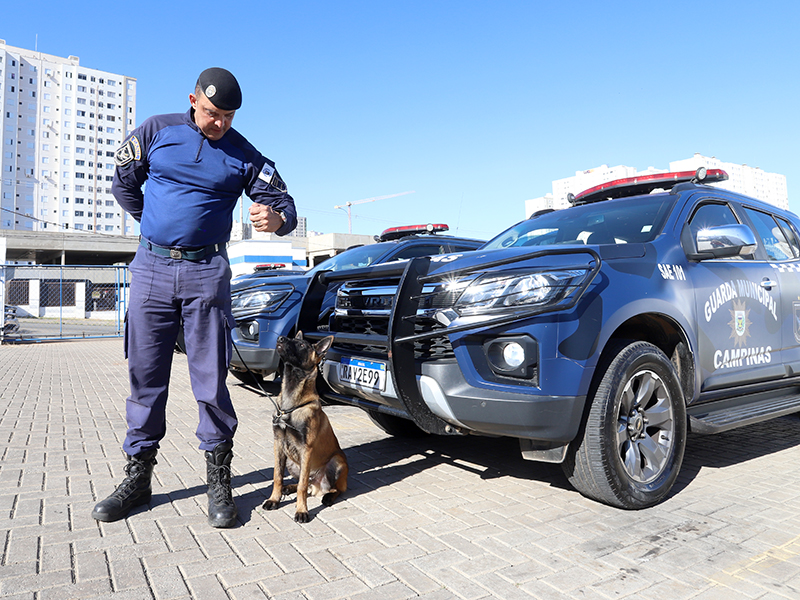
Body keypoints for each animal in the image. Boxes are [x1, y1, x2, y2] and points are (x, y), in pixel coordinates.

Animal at [264, 330, 348, 524]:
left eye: (302, 345)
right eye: (293, 339)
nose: (280, 338)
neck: (291, 405)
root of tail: (317, 485)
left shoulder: (305, 449)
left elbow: (302, 486)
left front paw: (301, 511)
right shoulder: (278, 444)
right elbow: (277, 476)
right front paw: (274, 499)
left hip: (337, 462)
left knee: (333, 488)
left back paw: (328, 497)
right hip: (292, 462)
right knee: (306, 484)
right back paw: (289, 487)